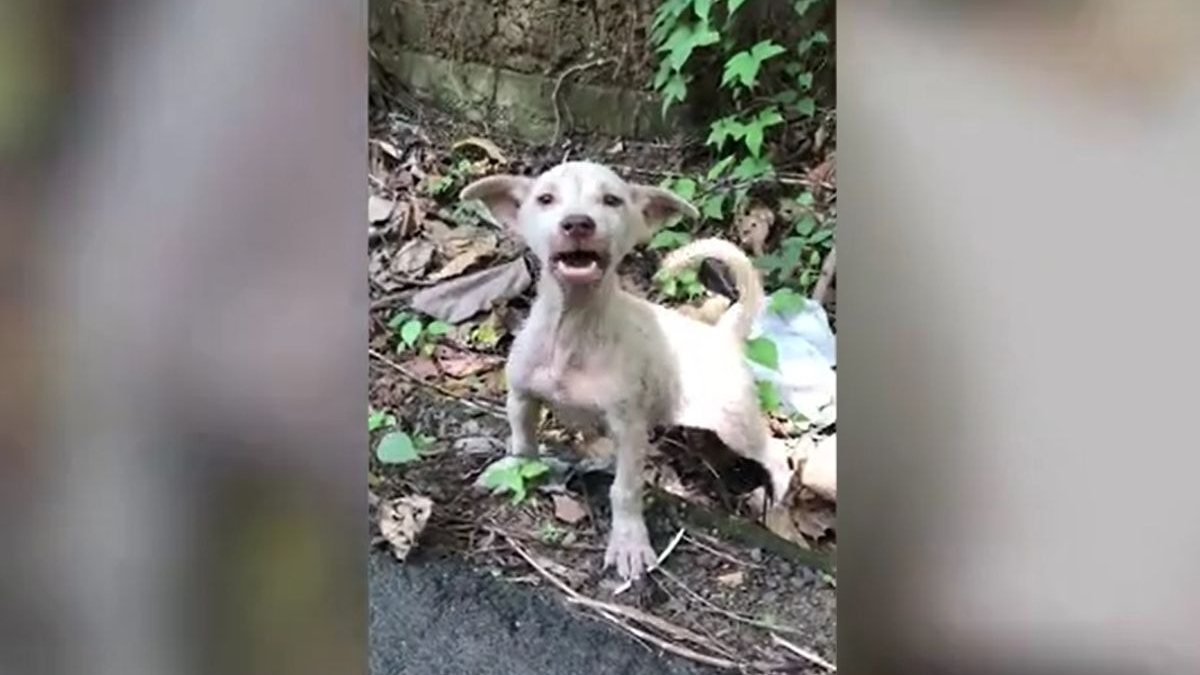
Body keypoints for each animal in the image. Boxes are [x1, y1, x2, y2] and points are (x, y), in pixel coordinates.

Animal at [463, 159, 792, 576]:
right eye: (545, 199)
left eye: (611, 200)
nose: (577, 224)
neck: (573, 327)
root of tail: (723, 334)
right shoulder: (520, 398)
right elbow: (522, 445)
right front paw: (511, 473)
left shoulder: (631, 428)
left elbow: (625, 489)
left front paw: (629, 542)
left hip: (736, 423)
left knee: (777, 454)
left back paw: (779, 503)